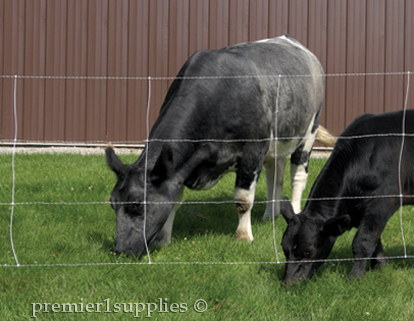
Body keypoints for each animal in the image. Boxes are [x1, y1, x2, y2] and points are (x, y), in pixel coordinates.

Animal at [107, 35, 330, 256]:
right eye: (112, 203)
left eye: (136, 205)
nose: (120, 251)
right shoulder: (180, 166)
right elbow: (173, 200)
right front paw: (163, 239)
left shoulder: (252, 152)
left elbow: (243, 201)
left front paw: (243, 236)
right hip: (277, 144)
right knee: (275, 175)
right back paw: (271, 214)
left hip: (309, 132)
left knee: (297, 176)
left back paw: (294, 211)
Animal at [280, 109, 414, 282]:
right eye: (284, 248)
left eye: (309, 251)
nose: (288, 283)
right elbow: (375, 241)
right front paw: (380, 269)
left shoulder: (382, 203)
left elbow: (363, 241)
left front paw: (355, 277)